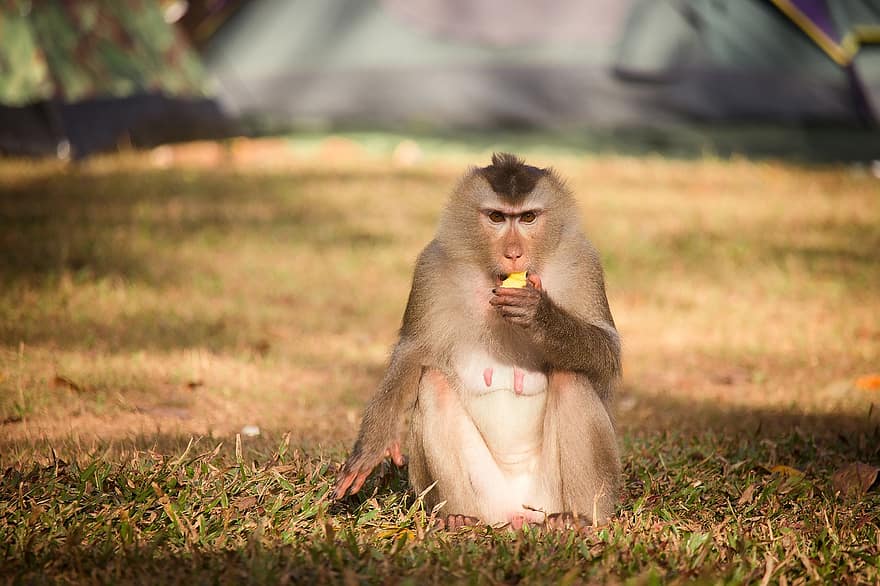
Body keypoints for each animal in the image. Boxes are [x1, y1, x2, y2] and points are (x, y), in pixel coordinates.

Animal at [334, 153, 624, 528]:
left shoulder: (582, 262)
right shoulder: (432, 269)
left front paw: (539, 314)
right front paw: (372, 447)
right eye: (497, 217)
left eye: (528, 217)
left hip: (548, 497)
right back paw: (458, 517)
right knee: (434, 385)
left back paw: (578, 519)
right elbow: (412, 353)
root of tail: (516, 514)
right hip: (488, 500)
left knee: (571, 376)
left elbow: (607, 352)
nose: (514, 253)